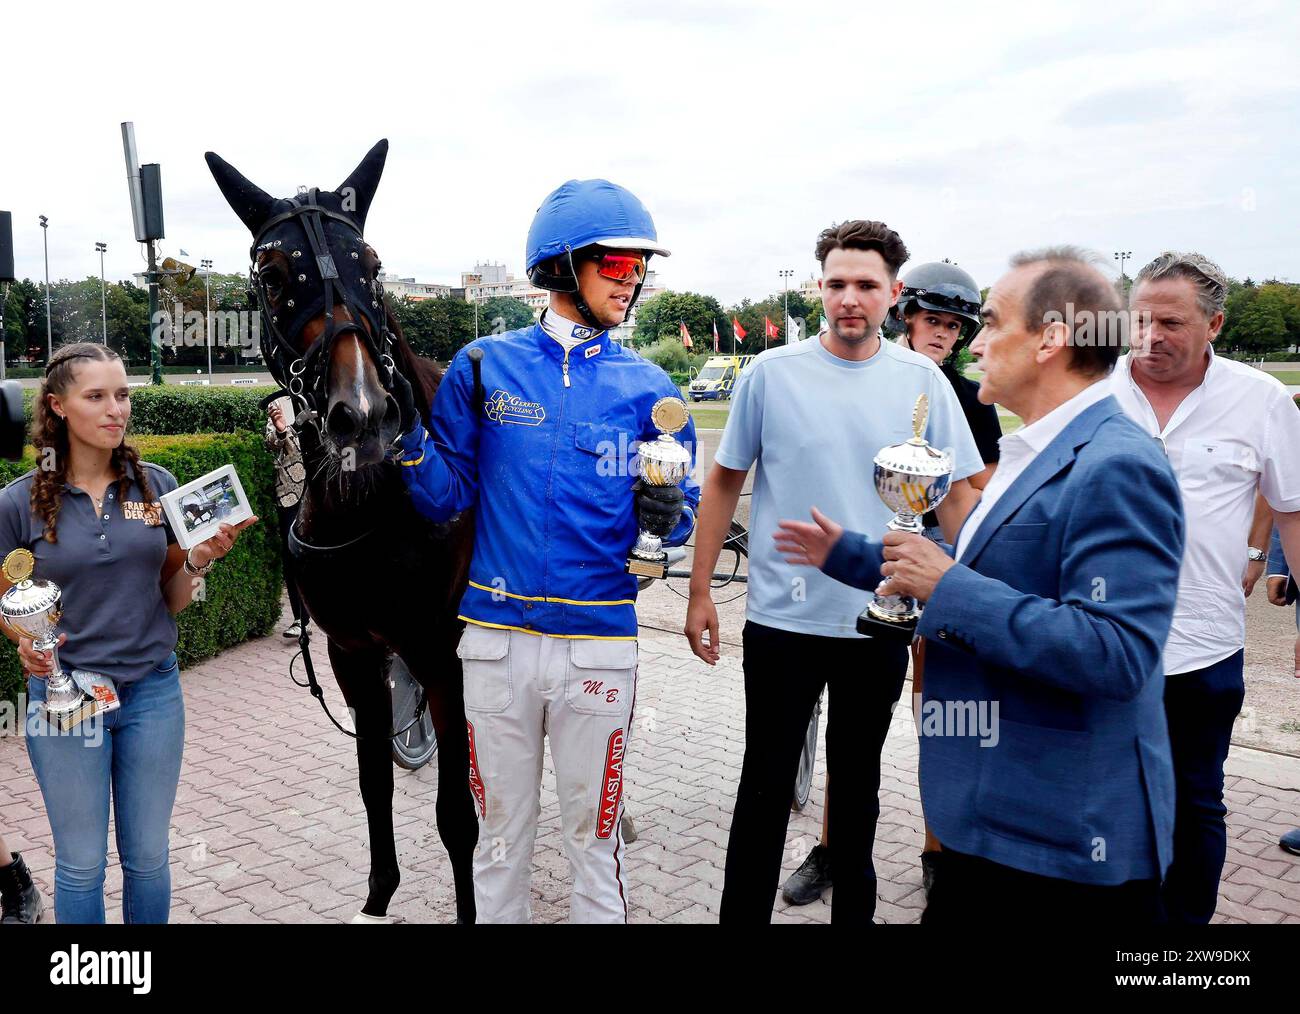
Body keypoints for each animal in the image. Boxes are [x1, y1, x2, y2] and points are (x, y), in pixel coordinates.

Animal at [205, 142, 480, 925]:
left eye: (373, 264)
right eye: (273, 275)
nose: (362, 413)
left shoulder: (438, 649)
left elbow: (457, 816)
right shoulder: (354, 652)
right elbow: (373, 784)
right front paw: (379, 893)